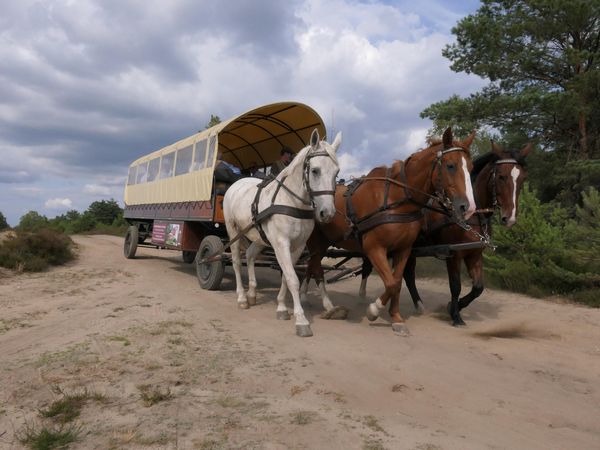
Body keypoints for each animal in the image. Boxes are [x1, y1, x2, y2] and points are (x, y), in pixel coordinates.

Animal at [223, 128, 340, 336]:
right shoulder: (281, 243)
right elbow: (292, 279)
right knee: (236, 262)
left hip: (259, 237)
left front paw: (282, 308)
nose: (327, 213)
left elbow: (286, 276)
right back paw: (242, 298)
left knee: (250, 255)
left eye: (337, 172)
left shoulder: (298, 246)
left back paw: (252, 293)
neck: (291, 202)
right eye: (315, 170)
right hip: (233, 230)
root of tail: (237, 183)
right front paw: (301, 320)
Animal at [302, 126, 476, 334]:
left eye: (471, 168)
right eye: (450, 165)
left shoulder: (403, 250)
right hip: (315, 243)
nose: (468, 207)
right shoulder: (374, 249)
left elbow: (397, 282)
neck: (395, 200)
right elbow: (391, 283)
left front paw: (396, 317)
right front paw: (374, 310)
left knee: (310, 267)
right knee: (314, 268)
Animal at [400, 140, 532, 324]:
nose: (510, 218)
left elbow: (478, 288)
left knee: (408, 274)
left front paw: (453, 307)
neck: (472, 215)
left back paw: (418, 304)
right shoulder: (453, 255)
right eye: (501, 176)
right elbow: (456, 286)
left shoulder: (474, 254)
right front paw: (456, 316)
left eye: (522, 178)